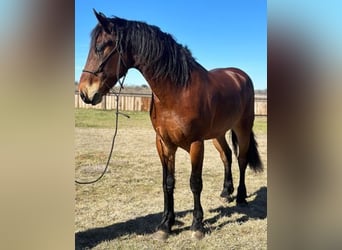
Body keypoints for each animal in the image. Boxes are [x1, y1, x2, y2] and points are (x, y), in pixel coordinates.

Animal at [79, 10, 262, 240]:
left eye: (101, 47)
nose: (85, 93)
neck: (177, 92)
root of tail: (239, 75)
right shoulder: (164, 144)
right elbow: (168, 182)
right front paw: (166, 225)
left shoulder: (196, 144)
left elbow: (195, 183)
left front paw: (197, 225)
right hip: (218, 133)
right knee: (227, 156)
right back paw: (226, 192)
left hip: (242, 128)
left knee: (241, 159)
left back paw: (241, 197)